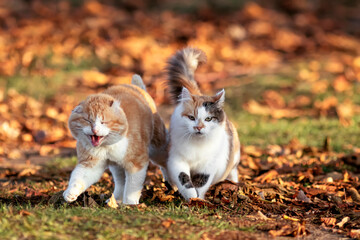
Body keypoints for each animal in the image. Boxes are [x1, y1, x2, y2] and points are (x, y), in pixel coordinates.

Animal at [63, 74, 167, 204]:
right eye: (88, 120)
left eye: (103, 122)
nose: (95, 130)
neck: (107, 146)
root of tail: (136, 87)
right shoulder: (91, 164)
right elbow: (79, 177)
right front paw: (70, 193)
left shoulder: (137, 163)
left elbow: (132, 186)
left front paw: (130, 204)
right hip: (116, 167)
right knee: (120, 182)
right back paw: (115, 200)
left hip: (157, 148)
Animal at [153, 47, 240, 201]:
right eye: (191, 117)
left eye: (208, 119)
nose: (199, 127)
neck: (197, 145)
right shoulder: (177, 160)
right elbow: (184, 179)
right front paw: (191, 198)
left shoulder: (208, 166)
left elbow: (201, 183)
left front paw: (198, 199)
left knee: (233, 172)